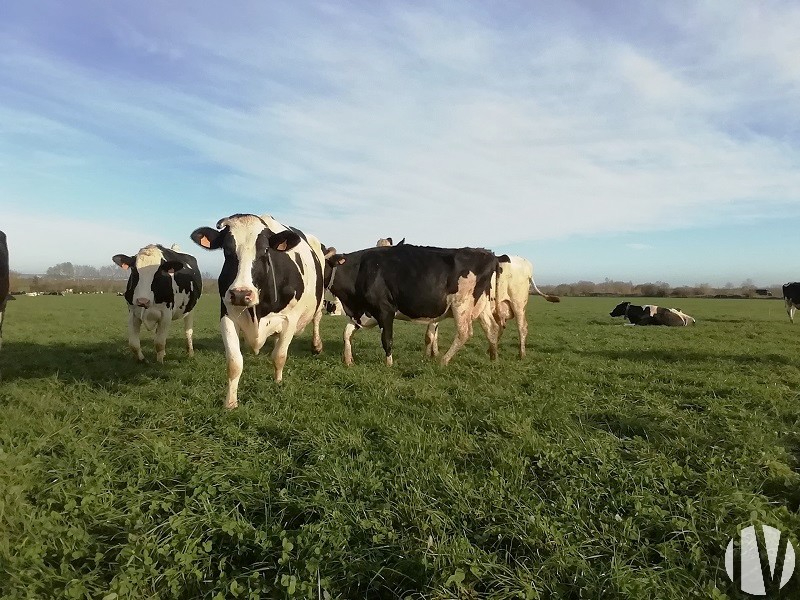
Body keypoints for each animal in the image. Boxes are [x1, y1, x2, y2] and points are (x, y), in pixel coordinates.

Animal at [192, 213, 326, 410]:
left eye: (265, 250)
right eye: (227, 250)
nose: (241, 294)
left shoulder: (290, 318)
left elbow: (279, 356)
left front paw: (278, 382)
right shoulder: (227, 316)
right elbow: (234, 362)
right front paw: (230, 402)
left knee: (317, 318)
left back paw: (316, 346)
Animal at [324, 243, 506, 366]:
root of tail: (488, 253)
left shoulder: (385, 310)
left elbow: (387, 339)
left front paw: (388, 365)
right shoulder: (361, 313)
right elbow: (346, 334)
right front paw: (348, 360)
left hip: (461, 304)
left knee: (464, 332)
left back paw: (444, 361)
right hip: (482, 305)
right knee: (492, 328)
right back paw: (494, 358)